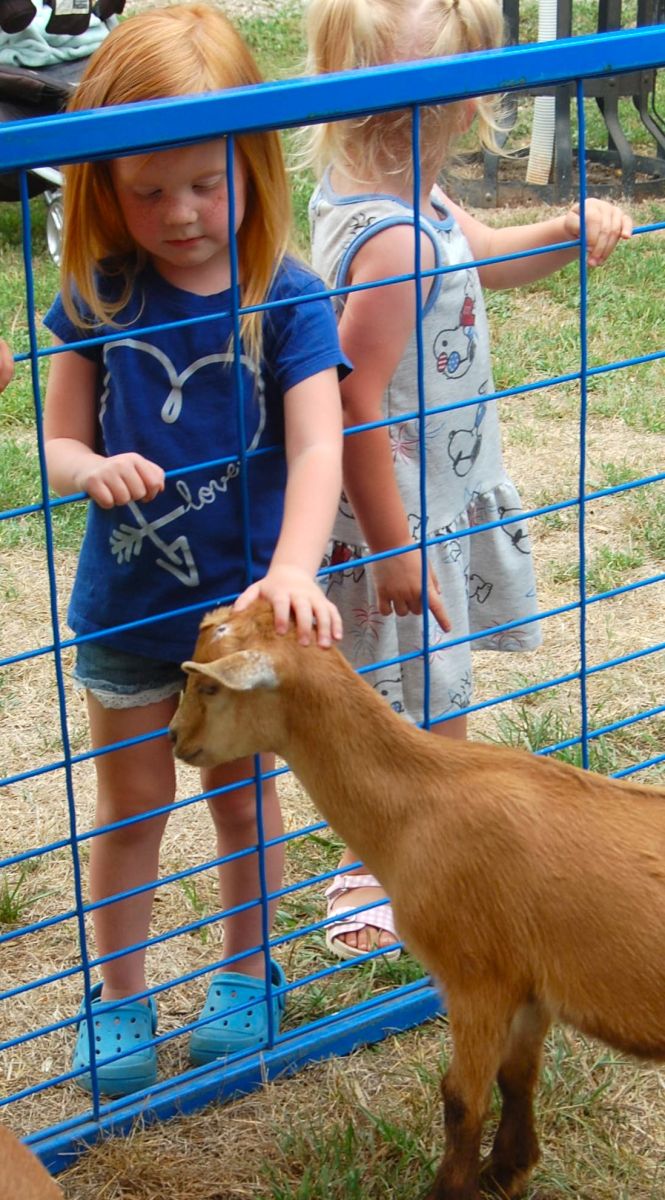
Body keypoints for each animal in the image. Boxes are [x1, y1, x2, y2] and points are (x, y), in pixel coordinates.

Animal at [169, 600, 662, 1200]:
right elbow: (518, 1075)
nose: (175, 736)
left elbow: (462, 1100)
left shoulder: (475, 977)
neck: (420, 802)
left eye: (208, 686)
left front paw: (454, 1188)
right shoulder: (527, 984)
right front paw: (507, 1171)